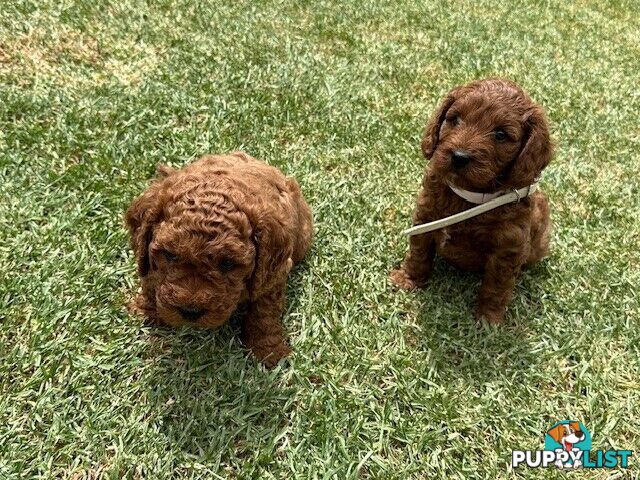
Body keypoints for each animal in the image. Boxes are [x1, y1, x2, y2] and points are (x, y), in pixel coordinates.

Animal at [125, 152, 312, 366]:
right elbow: (150, 278)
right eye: (170, 255)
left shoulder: (274, 273)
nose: (190, 312)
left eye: (227, 263)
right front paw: (147, 310)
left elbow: (264, 311)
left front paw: (268, 350)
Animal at [392, 79, 552, 324]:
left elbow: (497, 284)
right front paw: (408, 279)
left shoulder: (508, 247)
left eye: (501, 134)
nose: (459, 157)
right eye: (454, 119)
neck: (468, 197)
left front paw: (488, 317)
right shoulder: (425, 218)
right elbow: (418, 253)